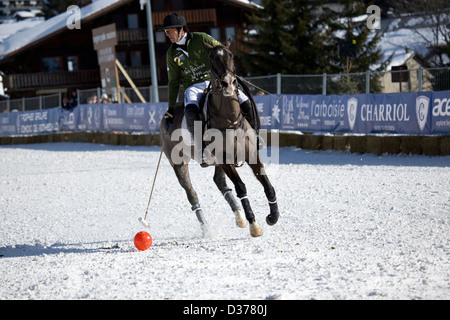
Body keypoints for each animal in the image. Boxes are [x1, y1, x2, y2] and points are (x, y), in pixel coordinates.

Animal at [158, 42, 278, 238]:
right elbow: (241, 187)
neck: (230, 119)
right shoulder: (225, 159)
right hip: (178, 163)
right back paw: (207, 229)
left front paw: (273, 217)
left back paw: (239, 217)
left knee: (220, 182)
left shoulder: (251, 154)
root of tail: (166, 116)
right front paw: (254, 225)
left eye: (231, 55)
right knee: (192, 194)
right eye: (212, 58)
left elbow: (267, 185)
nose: (228, 82)